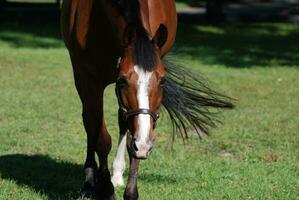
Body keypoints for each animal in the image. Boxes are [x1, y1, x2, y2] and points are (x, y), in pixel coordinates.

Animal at [60, 0, 234, 199]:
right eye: (123, 80)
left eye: (163, 80)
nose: (144, 145)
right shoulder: (90, 81)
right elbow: (101, 139)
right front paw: (106, 190)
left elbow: (133, 142)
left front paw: (129, 191)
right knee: (89, 123)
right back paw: (89, 182)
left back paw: (117, 174)